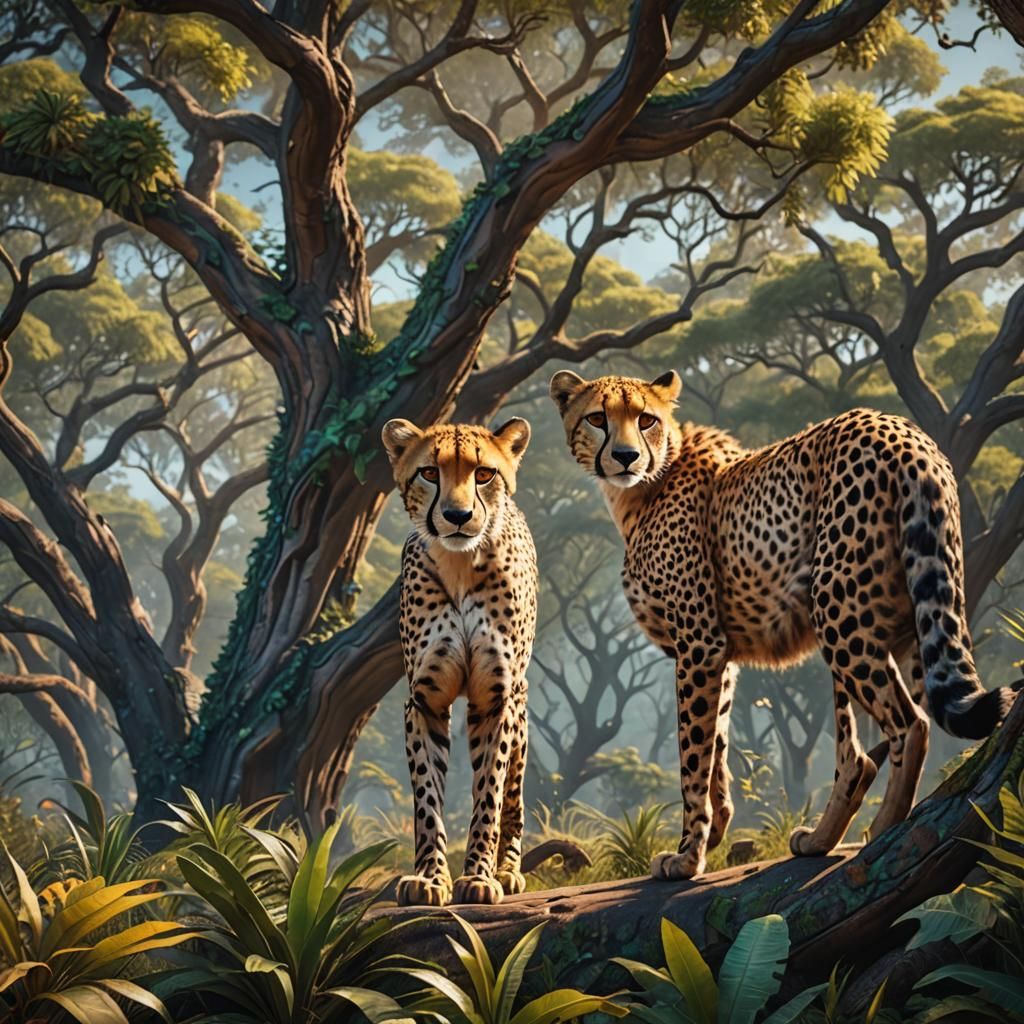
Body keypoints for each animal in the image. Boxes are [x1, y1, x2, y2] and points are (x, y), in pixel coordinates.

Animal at [381, 416, 537, 906]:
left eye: (484, 474)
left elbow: (489, 793)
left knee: (514, 797)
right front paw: (431, 879)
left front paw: (480, 878)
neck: (461, 564)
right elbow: (427, 800)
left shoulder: (495, 699)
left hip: (520, 709)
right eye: (430, 473)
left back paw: (507, 870)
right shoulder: (425, 700)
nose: (457, 516)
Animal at [550, 368, 1017, 880]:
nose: (626, 456)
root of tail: (898, 427)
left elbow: (693, 756)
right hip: (905, 616)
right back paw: (821, 838)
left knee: (908, 724)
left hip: (837, 606)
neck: (645, 485)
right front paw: (714, 832)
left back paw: (883, 831)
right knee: (862, 752)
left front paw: (688, 854)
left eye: (646, 419)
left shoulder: (699, 645)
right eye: (598, 418)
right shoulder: (719, 655)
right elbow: (716, 746)